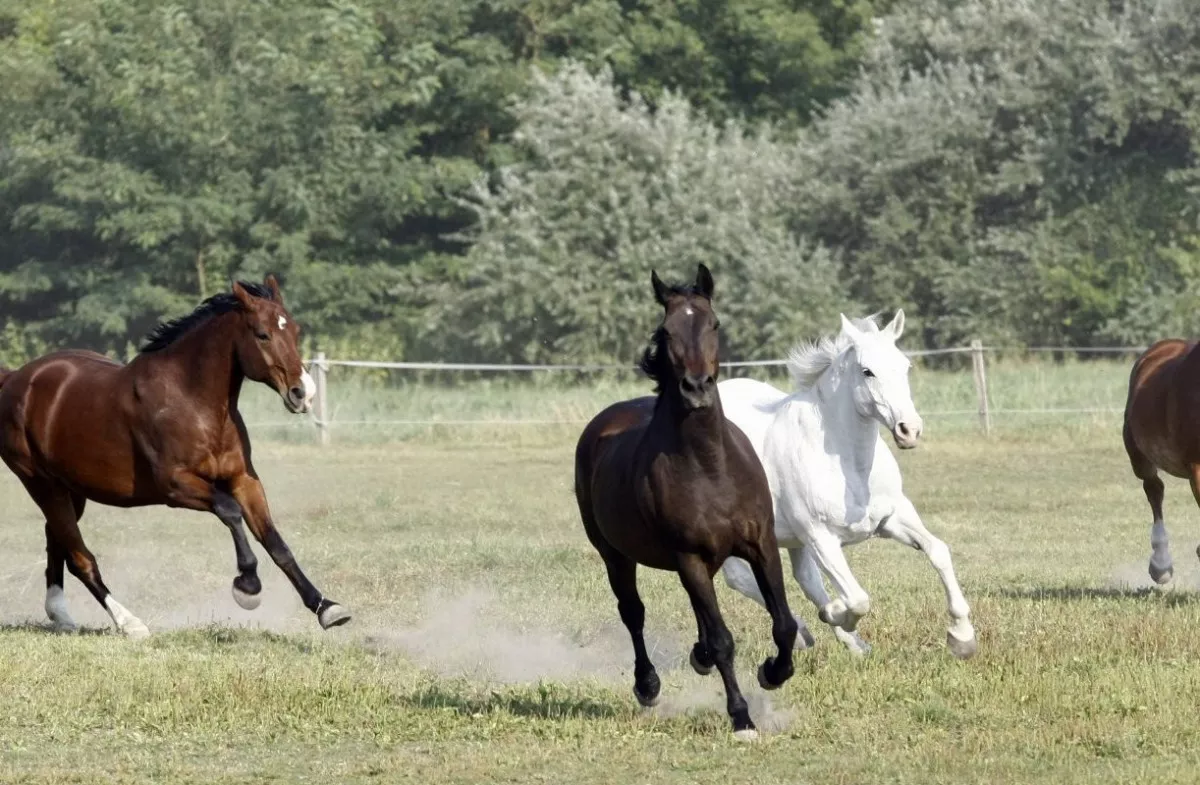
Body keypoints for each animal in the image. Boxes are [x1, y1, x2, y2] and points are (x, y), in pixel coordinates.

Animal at [0, 277, 350, 638]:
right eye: (262, 334)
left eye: (294, 331)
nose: (303, 394)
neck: (191, 400)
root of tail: (14, 378)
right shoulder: (175, 486)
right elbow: (230, 510)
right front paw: (248, 586)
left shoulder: (243, 480)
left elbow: (275, 543)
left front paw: (327, 608)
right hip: (41, 484)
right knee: (80, 557)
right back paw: (130, 623)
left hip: (71, 490)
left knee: (56, 540)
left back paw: (61, 616)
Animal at [573, 266, 801, 744]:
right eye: (667, 330)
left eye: (713, 324)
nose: (696, 388)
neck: (709, 467)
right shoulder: (689, 556)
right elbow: (723, 640)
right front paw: (742, 719)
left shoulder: (761, 545)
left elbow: (784, 623)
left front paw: (772, 673)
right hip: (616, 555)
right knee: (634, 613)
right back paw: (648, 686)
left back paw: (697, 658)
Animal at [720, 309, 974, 662]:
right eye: (867, 371)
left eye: (905, 366)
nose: (909, 430)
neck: (851, 467)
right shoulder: (820, 536)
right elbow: (857, 598)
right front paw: (835, 613)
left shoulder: (892, 518)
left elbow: (939, 551)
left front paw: (962, 637)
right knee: (742, 578)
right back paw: (804, 632)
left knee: (804, 578)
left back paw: (847, 641)